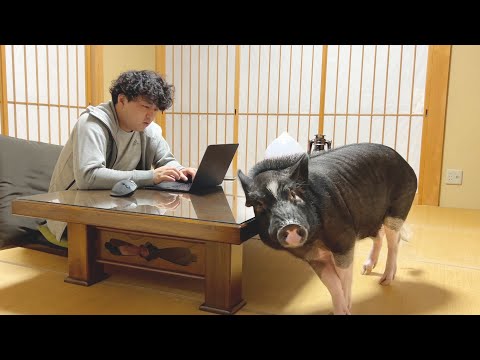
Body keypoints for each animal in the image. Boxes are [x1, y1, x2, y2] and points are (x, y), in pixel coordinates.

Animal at [239, 142, 416, 314]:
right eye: (259, 204)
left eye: (294, 194)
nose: (290, 225)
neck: (316, 241)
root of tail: (403, 161)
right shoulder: (313, 257)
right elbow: (333, 284)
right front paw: (340, 310)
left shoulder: (343, 240)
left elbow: (344, 279)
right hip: (368, 219)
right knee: (380, 235)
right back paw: (365, 270)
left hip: (397, 210)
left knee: (394, 242)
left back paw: (384, 281)